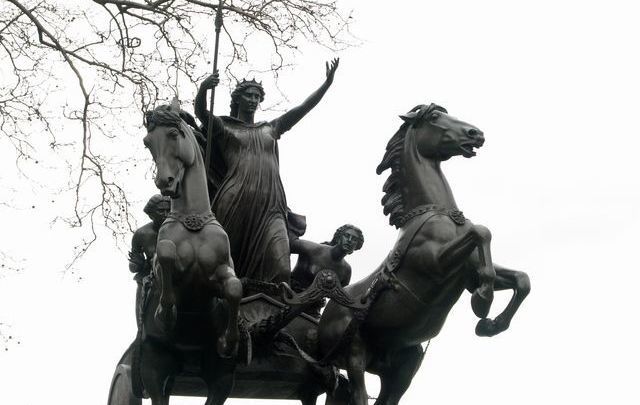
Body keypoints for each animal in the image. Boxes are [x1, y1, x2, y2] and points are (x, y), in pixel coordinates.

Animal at [142, 99, 242, 402]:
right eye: (147, 143)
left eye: (174, 134)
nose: (164, 182)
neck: (193, 219)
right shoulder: (163, 261)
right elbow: (165, 252)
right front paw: (167, 312)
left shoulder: (222, 270)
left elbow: (235, 288)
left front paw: (229, 339)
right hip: (155, 365)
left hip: (220, 379)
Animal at [318, 103, 532, 404]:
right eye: (434, 117)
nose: (476, 133)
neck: (436, 213)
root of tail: (327, 312)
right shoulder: (437, 264)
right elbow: (482, 231)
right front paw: (482, 302)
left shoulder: (468, 273)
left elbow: (521, 279)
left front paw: (491, 324)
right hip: (354, 354)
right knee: (359, 394)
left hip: (404, 364)